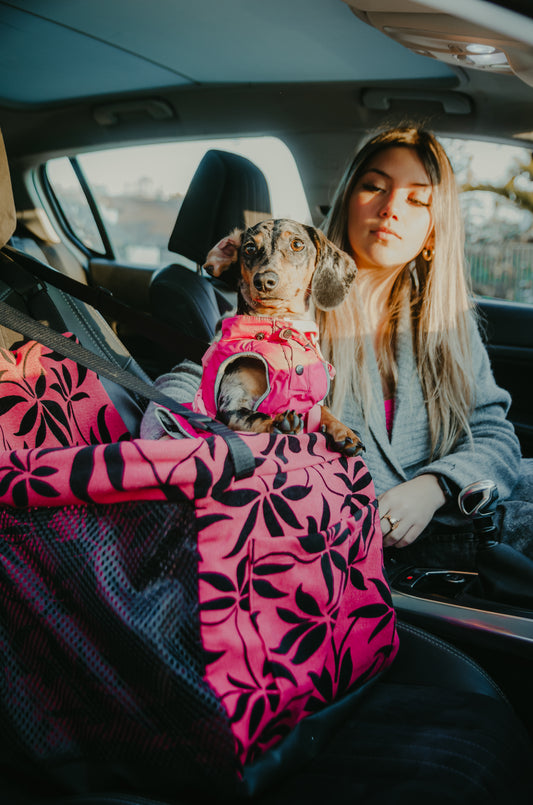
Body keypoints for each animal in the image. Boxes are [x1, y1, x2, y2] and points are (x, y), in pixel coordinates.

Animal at [193, 220, 364, 456]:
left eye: (297, 244)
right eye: (249, 248)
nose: (264, 280)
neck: (281, 327)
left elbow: (322, 410)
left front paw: (344, 431)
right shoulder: (232, 403)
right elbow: (255, 416)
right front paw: (276, 423)